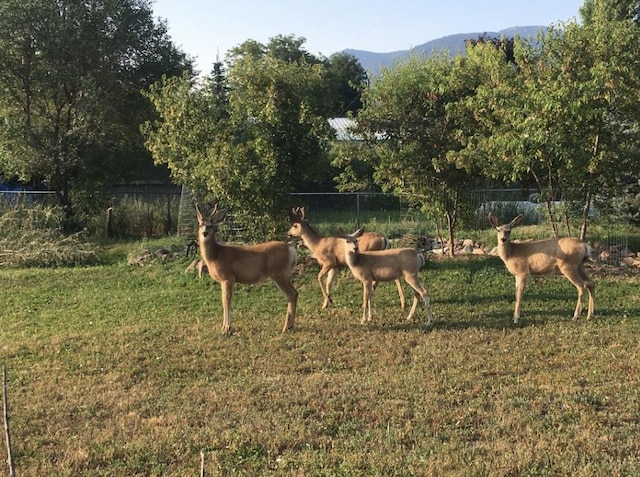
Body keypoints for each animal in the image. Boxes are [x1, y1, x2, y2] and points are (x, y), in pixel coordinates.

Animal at [195, 203, 298, 332]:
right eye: (200, 224)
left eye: (211, 225)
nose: (204, 233)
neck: (216, 255)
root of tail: (291, 249)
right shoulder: (224, 280)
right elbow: (224, 301)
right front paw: (224, 326)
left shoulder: (228, 278)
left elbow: (226, 302)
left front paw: (226, 328)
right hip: (284, 274)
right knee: (294, 293)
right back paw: (290, 326)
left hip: (278, 273)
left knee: (291, 294)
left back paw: (286, 327)